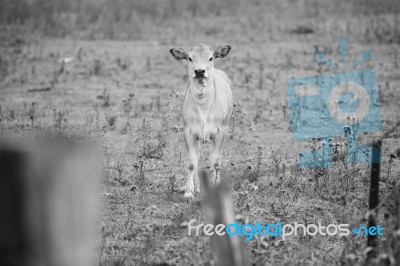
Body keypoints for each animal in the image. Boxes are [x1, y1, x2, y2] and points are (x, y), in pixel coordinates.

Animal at [170, 43, 233, 197]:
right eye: (190, 58)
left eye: (210, 58)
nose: (199, 71)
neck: (203, 104)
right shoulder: (188, 132)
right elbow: (192, 163)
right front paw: (188, 192)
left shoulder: (220, 132)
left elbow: (215, 162)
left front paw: (216, 187)